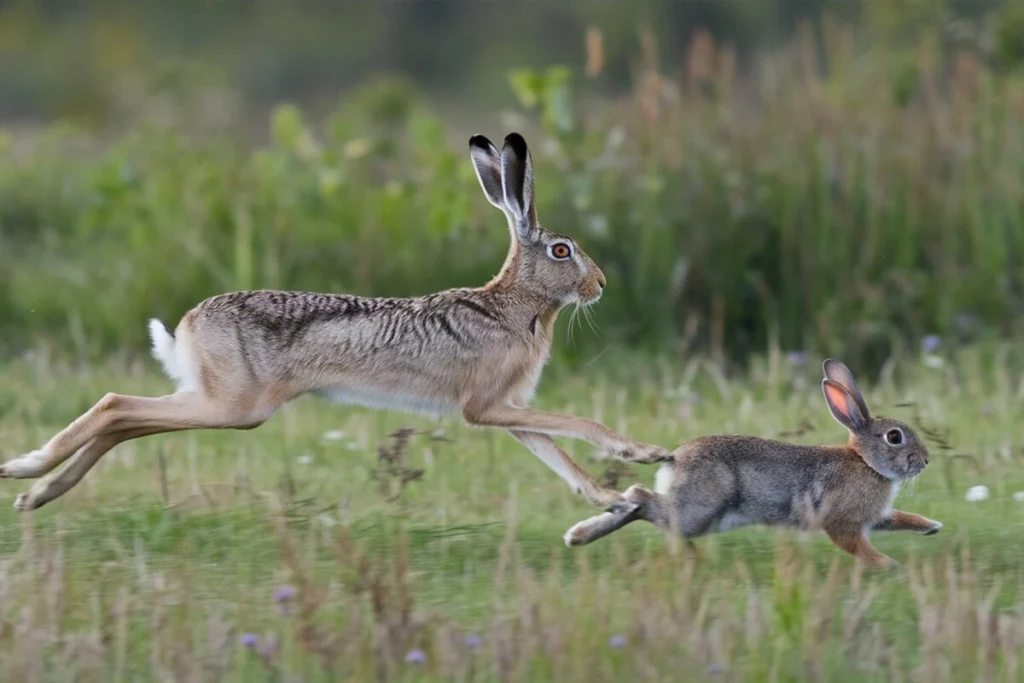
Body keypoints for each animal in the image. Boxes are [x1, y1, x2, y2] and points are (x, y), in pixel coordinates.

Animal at [0, 132, 671, 511]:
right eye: (561, 251)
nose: (599, 285)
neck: (516, 304)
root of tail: (188, 324)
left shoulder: (508, 411)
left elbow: (555, 454)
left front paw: (611, 497)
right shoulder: (485, 406)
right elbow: (575, 424)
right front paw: (642, 452)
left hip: (214, 399)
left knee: (123, 419)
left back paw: (37, 493)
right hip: (236, 404)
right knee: (115, 406)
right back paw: (26, 470)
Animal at [565, 360, 937, 569]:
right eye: (894, 437)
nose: (926, 460)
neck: (866, 463)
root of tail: (675, 459)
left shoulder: (874, 517)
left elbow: (900, 518)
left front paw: (931, 526)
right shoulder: (842, 522)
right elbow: (857, 546)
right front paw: (888, 565)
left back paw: (579, 537)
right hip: (697, 512)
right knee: (640, 498)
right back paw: (582, 534)